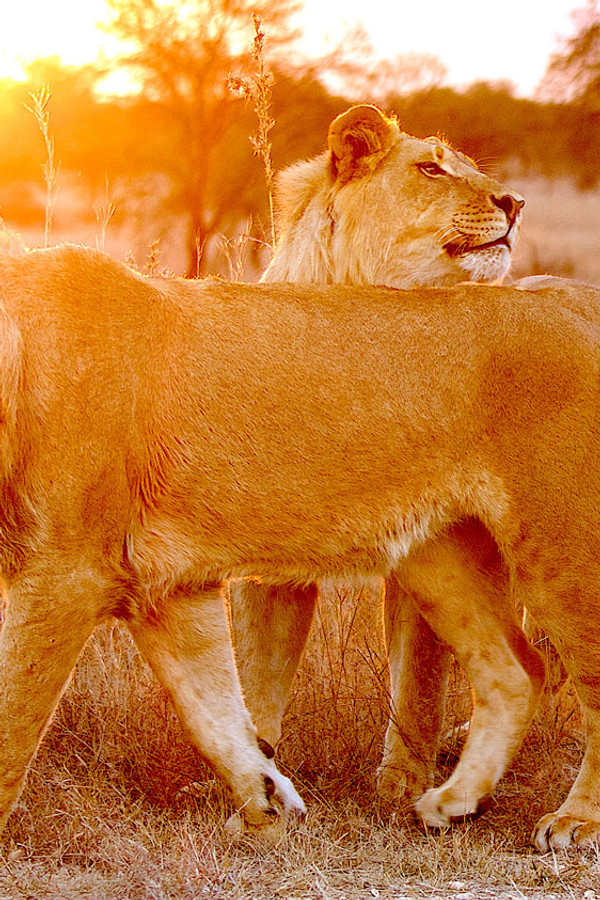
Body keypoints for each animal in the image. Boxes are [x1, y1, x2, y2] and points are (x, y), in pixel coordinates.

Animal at [1, 245, 600, 850]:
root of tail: (578, 298)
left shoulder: (67, 575)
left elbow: (13, 716)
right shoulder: (167, 589)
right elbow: (213, 710)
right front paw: (268, 805)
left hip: (561, 548)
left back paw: (576, 821)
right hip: (441, 557)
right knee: (517, 670)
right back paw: (452, 803)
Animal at [229, 104, 525, 800]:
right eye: (431, 168)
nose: (517, 202)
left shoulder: (437, 545)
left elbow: (417, 683)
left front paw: (399, 785)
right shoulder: (268, 556)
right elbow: (258, 681)